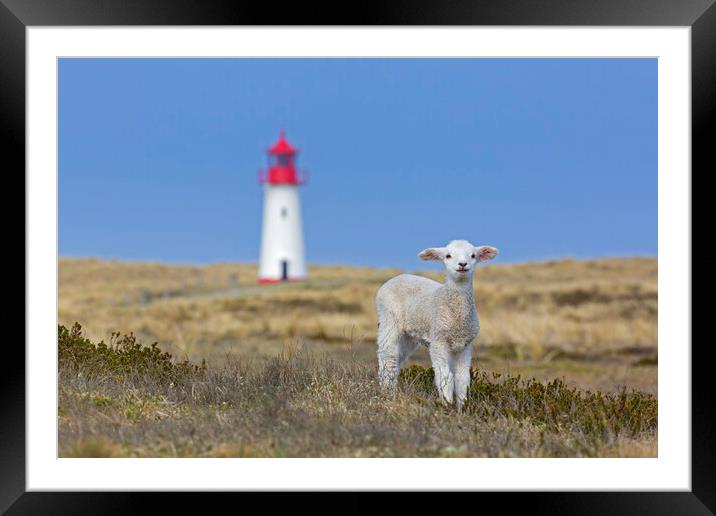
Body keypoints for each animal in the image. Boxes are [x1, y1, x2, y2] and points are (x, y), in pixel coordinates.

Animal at [374, 240, 498, 410]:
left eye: (473, 255)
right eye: (448, 255)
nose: (463, 264)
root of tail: (396, 277)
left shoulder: (464, 345)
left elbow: (462, 379)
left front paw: (462, 407)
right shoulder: (439, 341)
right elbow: (445, 376)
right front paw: (446, 404)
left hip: (409, 335)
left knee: (397, 357)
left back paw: (389, 389)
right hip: (389, 318)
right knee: (388, 356)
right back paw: (387, 392)